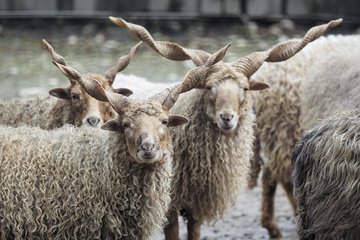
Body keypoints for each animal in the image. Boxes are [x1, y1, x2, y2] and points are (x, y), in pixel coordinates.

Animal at [109, 15, 340, 239]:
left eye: (244, 89)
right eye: (209, 87)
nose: (227, 118)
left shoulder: (197, 200)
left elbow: (194, 231)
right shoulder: (170, 201)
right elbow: (173, 232)